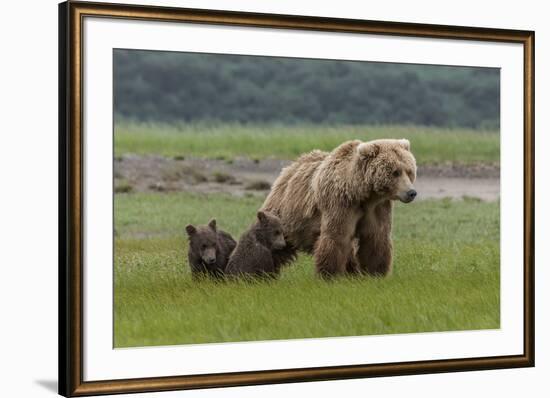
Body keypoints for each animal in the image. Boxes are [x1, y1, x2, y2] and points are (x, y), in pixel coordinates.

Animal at [264, 138, 418, 278]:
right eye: (395, 172)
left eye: (409, 171)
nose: (411, 192)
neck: (361, 193)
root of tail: (290, 167)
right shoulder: (340, 204)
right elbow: (337, 237)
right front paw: (329, 274)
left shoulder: (377, 207)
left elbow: (376, 238)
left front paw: (375, 272)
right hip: (287, 215)